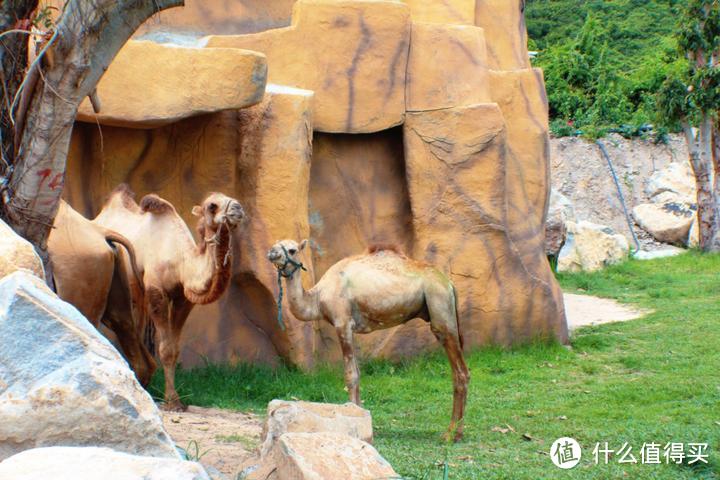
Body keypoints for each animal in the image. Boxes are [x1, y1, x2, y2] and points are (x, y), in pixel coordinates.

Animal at [95, 186, 245, 410]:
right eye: (212, 205)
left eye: (231, 198)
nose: (238, 208)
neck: (180, 262)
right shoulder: (157, 292)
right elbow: (165, 349)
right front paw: (172, 402)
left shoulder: (182, 299)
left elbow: (174, 349)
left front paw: (174, 399)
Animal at [268, 240, 470, 442]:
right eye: (276, 244)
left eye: (292, 250)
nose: (271, 253)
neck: (317, 297)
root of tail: (450, 284)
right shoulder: (351, 328)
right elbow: (357, 373)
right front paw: (362, 420)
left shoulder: (342, 323)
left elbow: (350, 376)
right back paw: (458, 433)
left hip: (440, 309)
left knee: (460, 372)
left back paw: (450, 434)